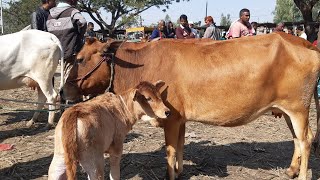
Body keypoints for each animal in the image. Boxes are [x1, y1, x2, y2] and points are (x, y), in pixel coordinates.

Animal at [61, 32, 320, 180]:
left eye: (80, 59)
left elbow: (170, 150)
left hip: (298, 108)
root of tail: (305, 44)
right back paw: (291, 170)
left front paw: (170, 175)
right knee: (297, 138)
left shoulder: (170, 117)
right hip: (288, 110)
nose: (64, 91)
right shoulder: (181, 119)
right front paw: (180, 170)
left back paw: (302, 176)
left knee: (306, 139)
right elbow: (180, 146)